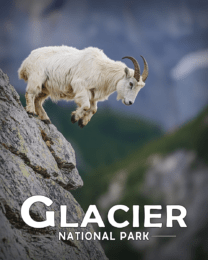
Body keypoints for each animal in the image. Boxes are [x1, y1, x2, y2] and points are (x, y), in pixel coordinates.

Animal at [17, 47, 148, 129]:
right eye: (131, 83)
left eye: (140, 88)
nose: (130, 102)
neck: (101, 68)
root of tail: (25, 63)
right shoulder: (80, 86)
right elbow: (85, 106)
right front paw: (74, 117)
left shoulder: (93, 93)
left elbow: (93, 109)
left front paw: (82, 122)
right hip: (37, 77)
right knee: (31, 93)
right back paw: (30, 111)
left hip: (46, 88)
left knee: (38, 100)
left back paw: (46, 119)